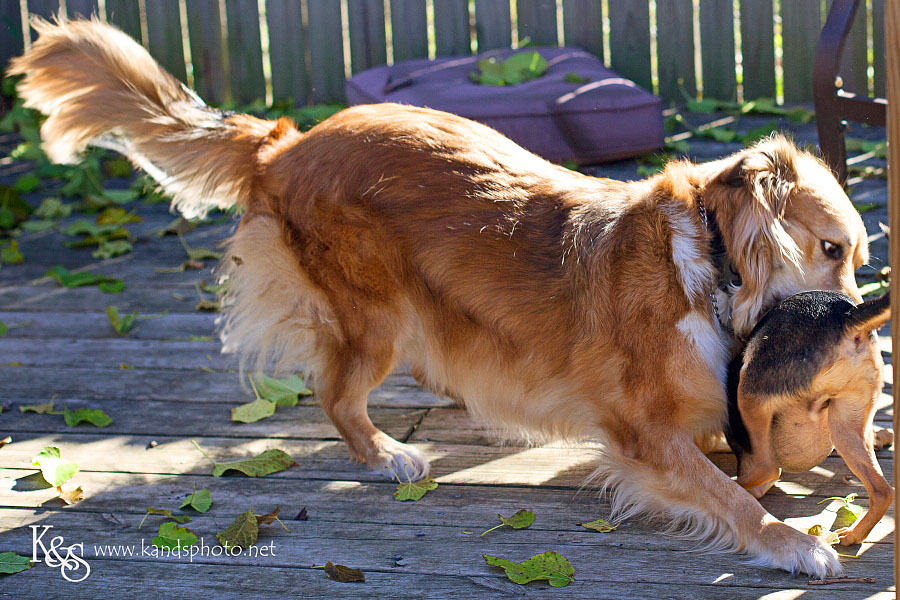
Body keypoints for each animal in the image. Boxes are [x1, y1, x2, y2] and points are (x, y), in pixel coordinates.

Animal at [10, 18, 884, 580]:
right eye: (833, 250)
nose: (859, 329)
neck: (704, 260)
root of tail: (287, 142)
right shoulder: (644, 433)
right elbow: (732, 497)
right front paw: (795, 542)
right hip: (377, 316)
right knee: (335, 392)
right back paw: (386, 454)